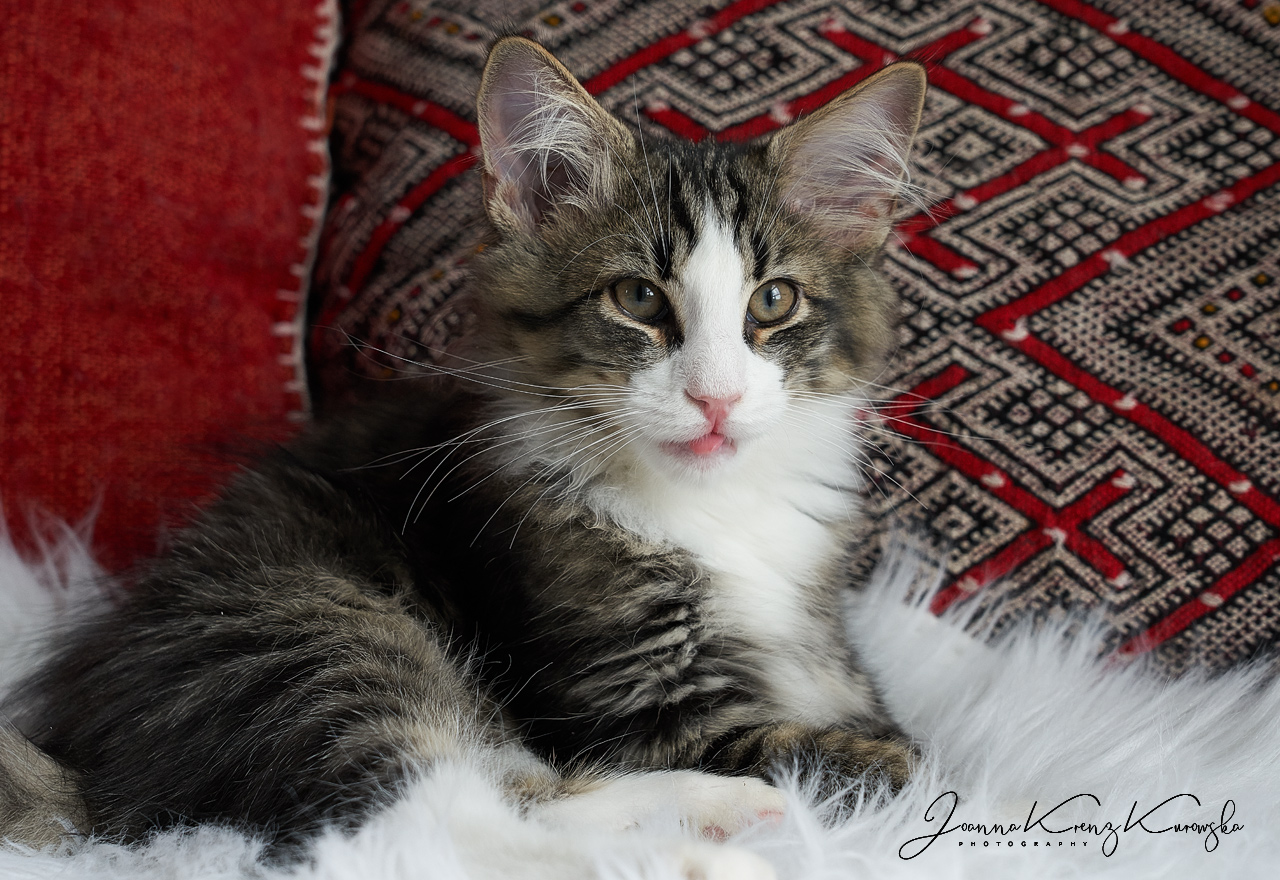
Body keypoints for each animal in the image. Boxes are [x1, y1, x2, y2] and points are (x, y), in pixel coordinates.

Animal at [2, 36, 926, 876]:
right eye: (636, 298)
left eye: (773, 302)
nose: (716, 398)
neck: (713, 508)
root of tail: (93, 768)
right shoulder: (633, 705)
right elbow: (889, 759)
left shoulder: (830, 660)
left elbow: (867, 721)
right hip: (325, 639)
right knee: (414, 823)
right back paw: (713, 843)